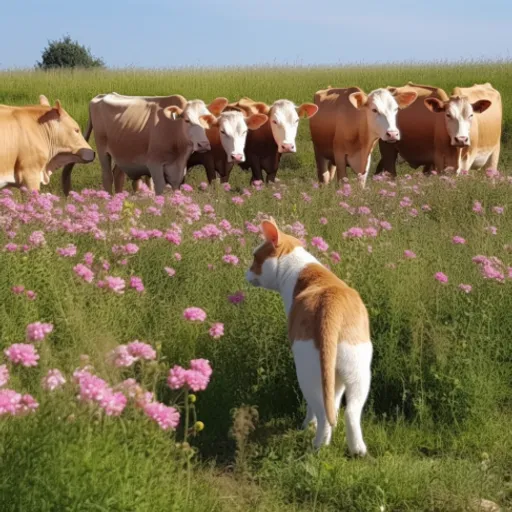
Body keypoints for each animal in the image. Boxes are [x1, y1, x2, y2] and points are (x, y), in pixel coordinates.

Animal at [61, 92, 229, 196]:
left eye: (208, 119)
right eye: (187, 120)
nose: (203, 145)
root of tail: (100, 97)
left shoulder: (179, 167)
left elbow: (176, 186)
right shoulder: (154, 164)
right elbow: (159, 188)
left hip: (124, 153)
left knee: (118, 175)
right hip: (103, 149)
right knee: (107, 177)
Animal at [245, 218, 372, 454]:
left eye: (255, 258)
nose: (246, 274)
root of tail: (331, 305)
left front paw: (309, 426)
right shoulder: (335, 377)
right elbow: (335, 400)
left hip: (307, 371)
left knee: (320, 411)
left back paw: (318, 444)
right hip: (357, 368)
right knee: (350, 411)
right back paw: (357, 449)